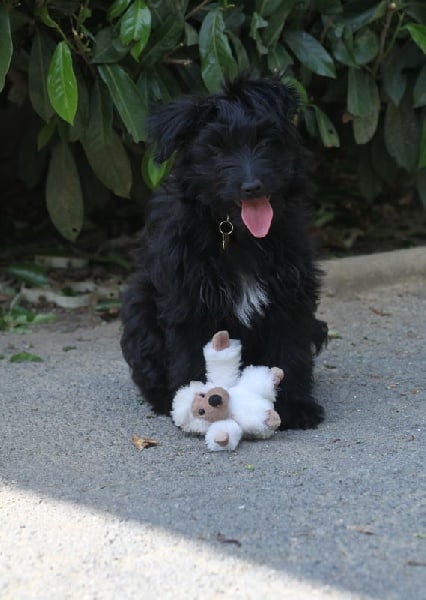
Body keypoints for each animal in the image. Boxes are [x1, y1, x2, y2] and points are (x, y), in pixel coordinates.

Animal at [121, 77, 328, 428]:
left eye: (264, 140)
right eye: (216, 148)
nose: (252, 186)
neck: (236, 235)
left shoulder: (291, 293)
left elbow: (289, 351)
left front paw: (295, 405)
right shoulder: (187, 299)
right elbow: (191, 356)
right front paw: (192, 406)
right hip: (139, 304)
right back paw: (164, 398)